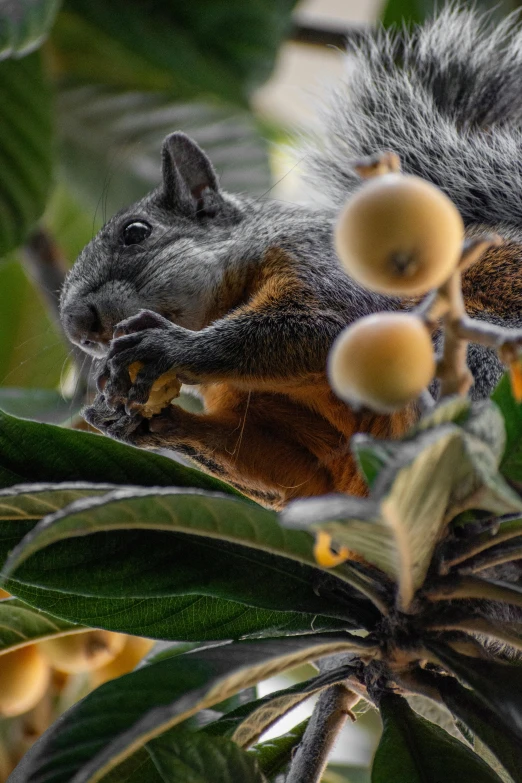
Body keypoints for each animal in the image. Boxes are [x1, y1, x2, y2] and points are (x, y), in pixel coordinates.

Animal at [60, 9, 520, 512]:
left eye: (135, 232)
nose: (76, 326)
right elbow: (294, 470)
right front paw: (133, 422)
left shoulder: (323, 268)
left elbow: (316, 324)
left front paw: (170, 346)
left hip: (477, 356)